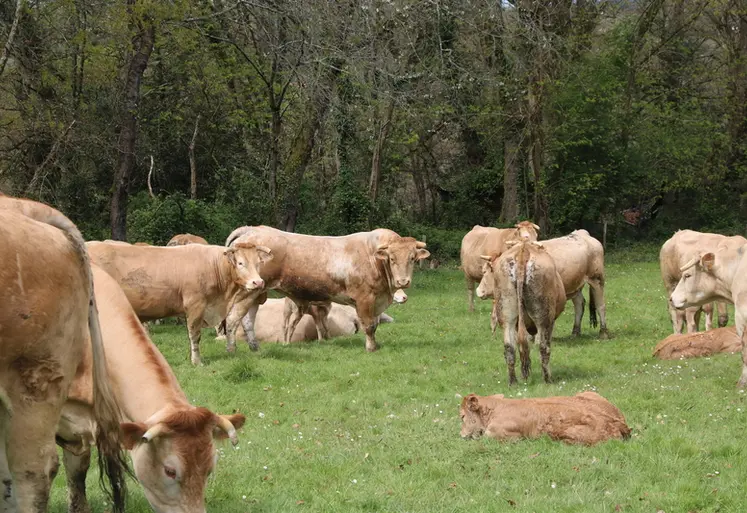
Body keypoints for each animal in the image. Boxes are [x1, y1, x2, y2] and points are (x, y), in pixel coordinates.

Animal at [87, 241, 272, 365]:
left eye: (258, 263)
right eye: (240, 263)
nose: (258, 282)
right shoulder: (196, 306)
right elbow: (195, 335)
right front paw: (197, 361)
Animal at [225, 225, 429, 352]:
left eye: (412, 258)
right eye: (391, 258)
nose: (403, 281)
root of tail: (253, 229)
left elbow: (374, 325)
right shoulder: (365, 298)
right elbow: (369, 326)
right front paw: (371, 348)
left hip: (257, 291)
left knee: (248, 320)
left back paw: (255, 348)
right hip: (246, 292)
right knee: (233, 319)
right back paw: (232, 349)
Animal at [476, 240, 566, 384]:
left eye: (485, 272)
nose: (479, 291)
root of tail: (523, 251)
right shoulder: (551, 323)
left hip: (507, 316)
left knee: (510, 348)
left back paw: (513, 381)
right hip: (544, 318)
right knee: (543, 347)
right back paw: (547, 379)